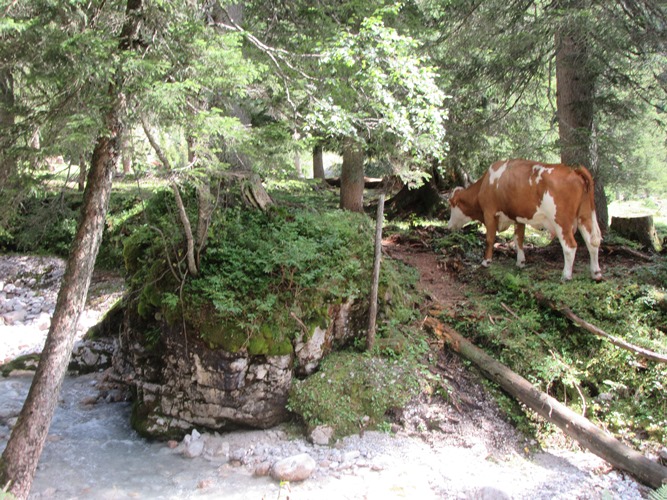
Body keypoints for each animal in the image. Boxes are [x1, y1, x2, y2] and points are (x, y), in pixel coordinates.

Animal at [452, 158, 604, 280]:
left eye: (451, 204)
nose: (449, 225)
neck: (485, 184)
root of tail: (574, 171)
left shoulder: (489, 213)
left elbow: (489, 239)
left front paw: (486, 262)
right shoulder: (518, 218)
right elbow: (518, 239)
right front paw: (521, 262)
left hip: (562, 221)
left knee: (570, 246)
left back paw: (566, 276)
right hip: (585, 217)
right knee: (592, 243)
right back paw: (596, 273)